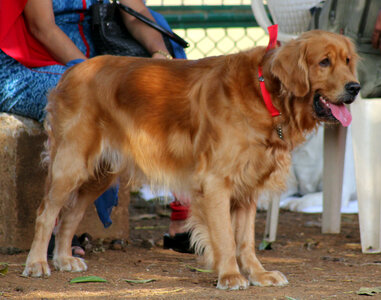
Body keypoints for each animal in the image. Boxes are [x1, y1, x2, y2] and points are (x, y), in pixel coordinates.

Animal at [22, 29, 358, 288]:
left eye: (347, 61)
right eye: (324, 62)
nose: (354, 87)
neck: (266, 93)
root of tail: (72, 69)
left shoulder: (247, 187)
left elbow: (246, 240)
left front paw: (258, 274)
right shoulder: (216, 182)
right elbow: (225, 236)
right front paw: (231, 276)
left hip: (100, 173)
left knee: (69, 214)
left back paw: (64, 258)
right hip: (71, 164)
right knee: (46, 212)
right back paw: (38, 262)